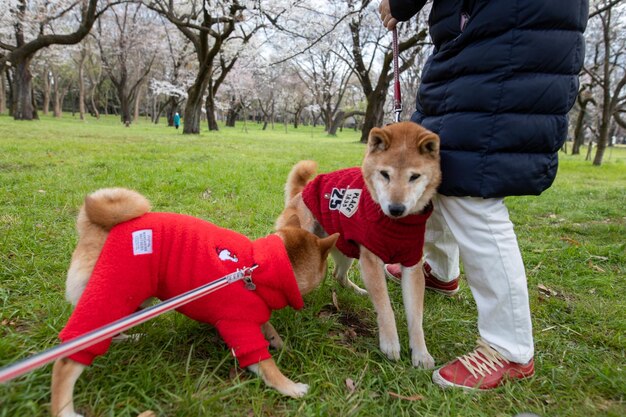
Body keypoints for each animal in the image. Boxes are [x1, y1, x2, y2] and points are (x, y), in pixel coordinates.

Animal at [51, 188, 338, 416]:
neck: (258, 268)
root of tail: (95, 225)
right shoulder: (238, 325)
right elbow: (264, 364)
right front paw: (290, 387)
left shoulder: (254, 313)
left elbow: (268, 327)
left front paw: (280, 343)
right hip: (114, 294)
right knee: (66, 360)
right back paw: (65, 410)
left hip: (133, 302)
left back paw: (127, 339)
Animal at [272, 121, 438, 368]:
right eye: (384, 174)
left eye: (414, 176)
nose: (396, 208)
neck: (396, 225)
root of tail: (301, 192)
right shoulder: (371, 261)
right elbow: (385, 307)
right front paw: (390, 342)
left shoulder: (412, 264)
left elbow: (415, 314)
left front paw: (420, 353)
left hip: (346, 250)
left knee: (338, 276)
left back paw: (357, 290)